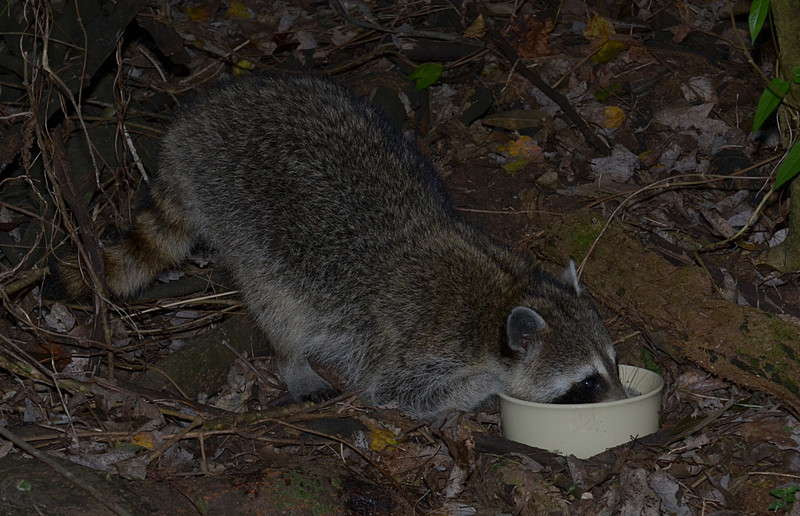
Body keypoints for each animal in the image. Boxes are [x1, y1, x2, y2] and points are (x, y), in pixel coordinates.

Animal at [54, 73, 632, 420]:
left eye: (613, 363)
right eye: (587, 384)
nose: (626, 402)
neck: (507, 292)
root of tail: (190, 127)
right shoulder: (416, 342)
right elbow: (396, 391)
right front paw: (488, 387)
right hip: (235, 213)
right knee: (276, 304)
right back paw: (292, 360)